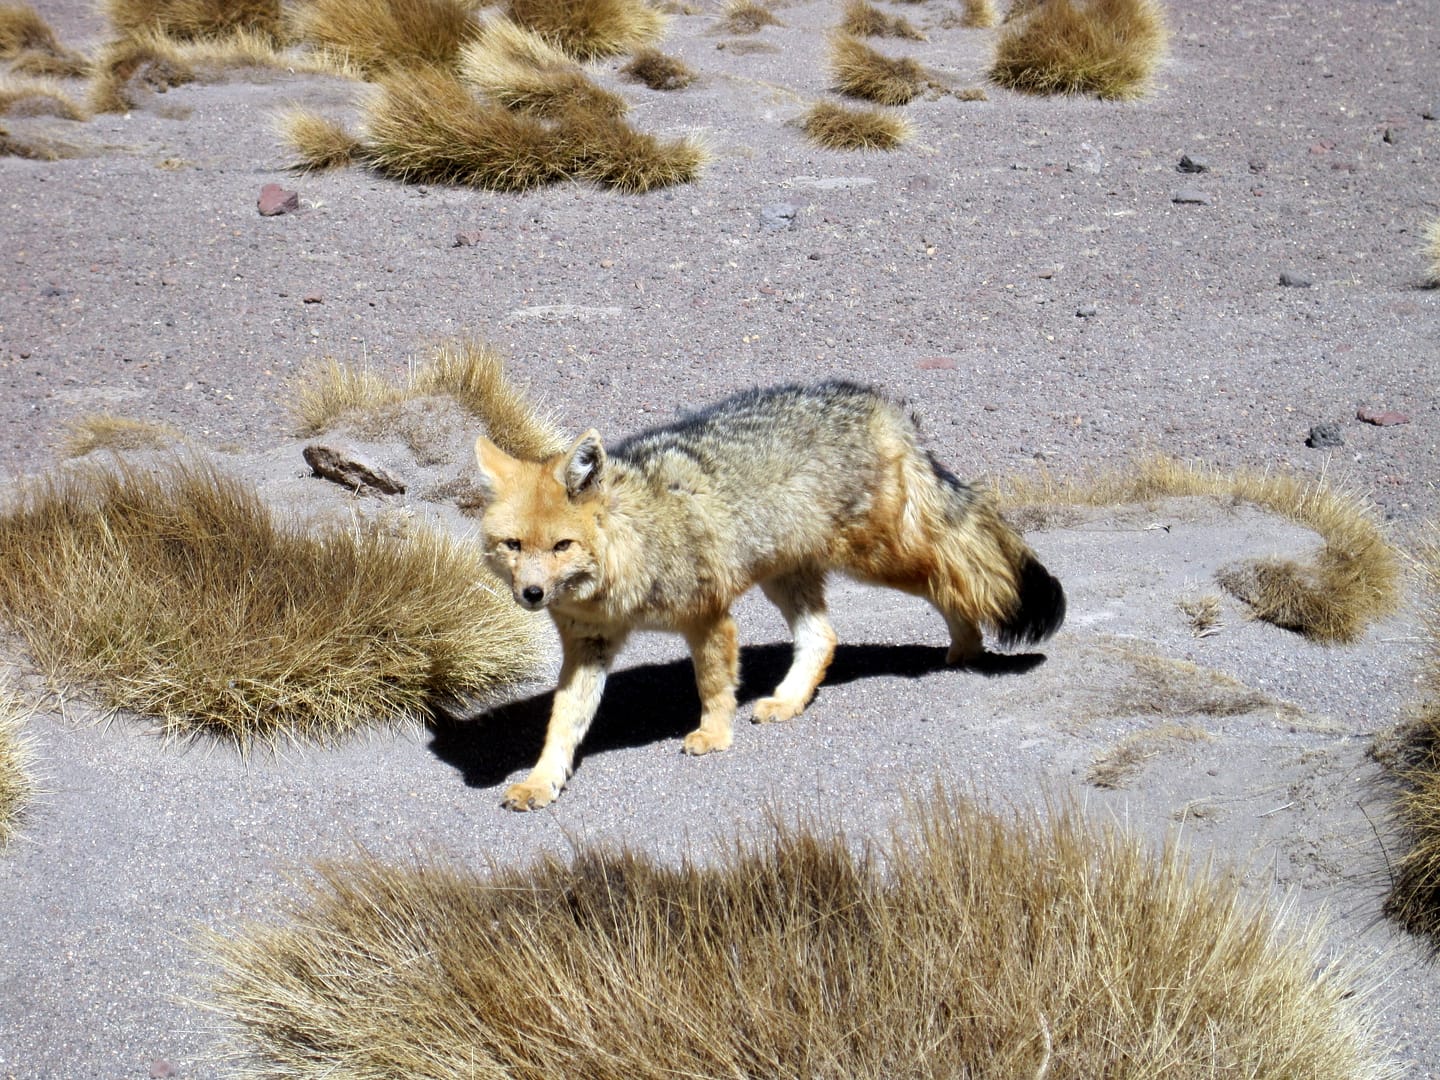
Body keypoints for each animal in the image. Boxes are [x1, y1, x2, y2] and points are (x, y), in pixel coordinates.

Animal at [473, 381, 1065, 810]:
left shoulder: (708, 616)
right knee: (824, 637)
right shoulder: (589, 645)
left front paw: (714, 736)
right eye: (513, 545)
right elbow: (562, 724)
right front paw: (541, 781)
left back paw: (966, 646)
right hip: (788, 578)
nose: (531, 593)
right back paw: (788, 699)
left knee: (948, 572)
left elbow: (714, 686)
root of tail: (876, 401)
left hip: (879, 558)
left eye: (561, 546)